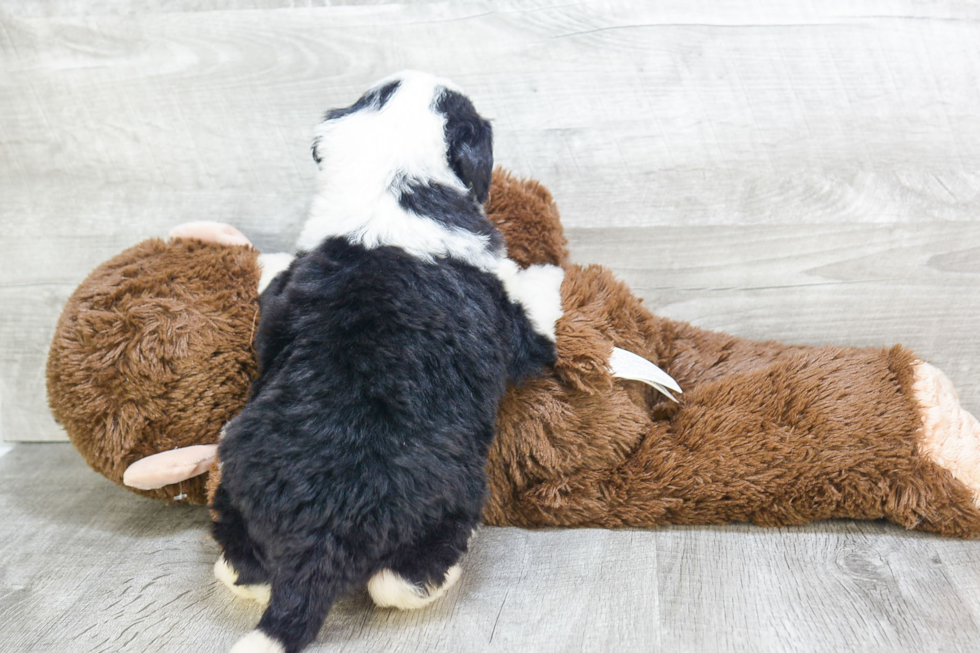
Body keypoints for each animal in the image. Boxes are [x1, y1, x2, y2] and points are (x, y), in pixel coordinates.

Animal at [212, 71, 568, 652]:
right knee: (396, 581)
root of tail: (316, 544)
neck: (393, 186)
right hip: (455, 490)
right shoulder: (516, 330)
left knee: (247, 565)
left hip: (234, 469)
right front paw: (547, 270)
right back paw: (440, 574)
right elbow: (537, 302)